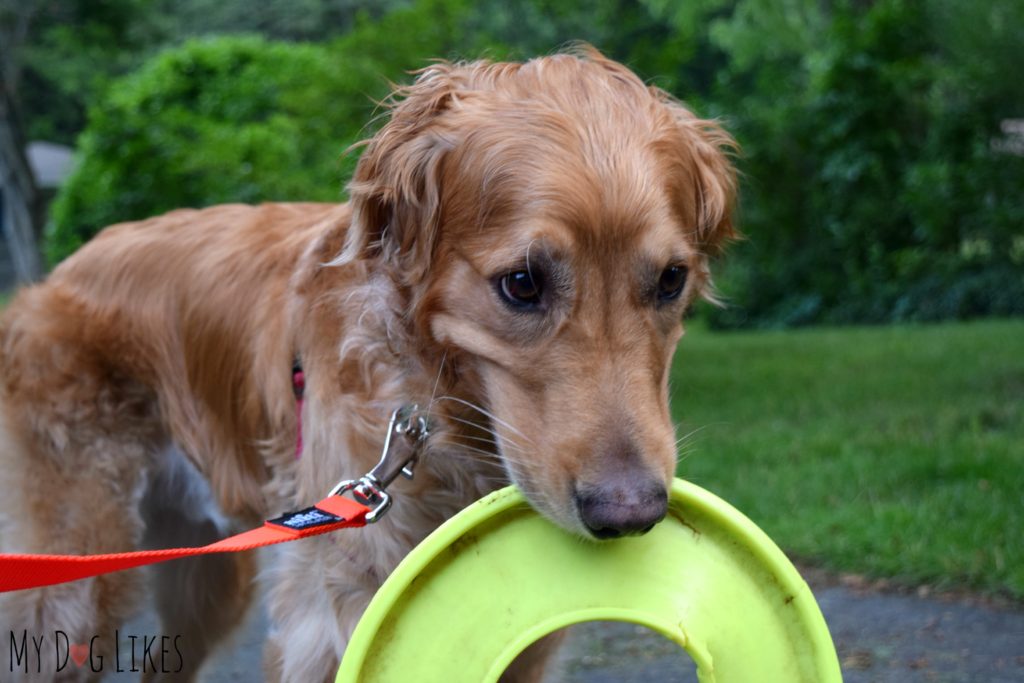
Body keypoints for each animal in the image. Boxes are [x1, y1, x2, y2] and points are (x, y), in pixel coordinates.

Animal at [0, 45, 737, 679]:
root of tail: (53, 277)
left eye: (671, 280)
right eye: (522, 283)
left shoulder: (528, 643)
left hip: (203, 577)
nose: (631, 515)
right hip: (76, 580)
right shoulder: (328, 625)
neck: (442, 424)